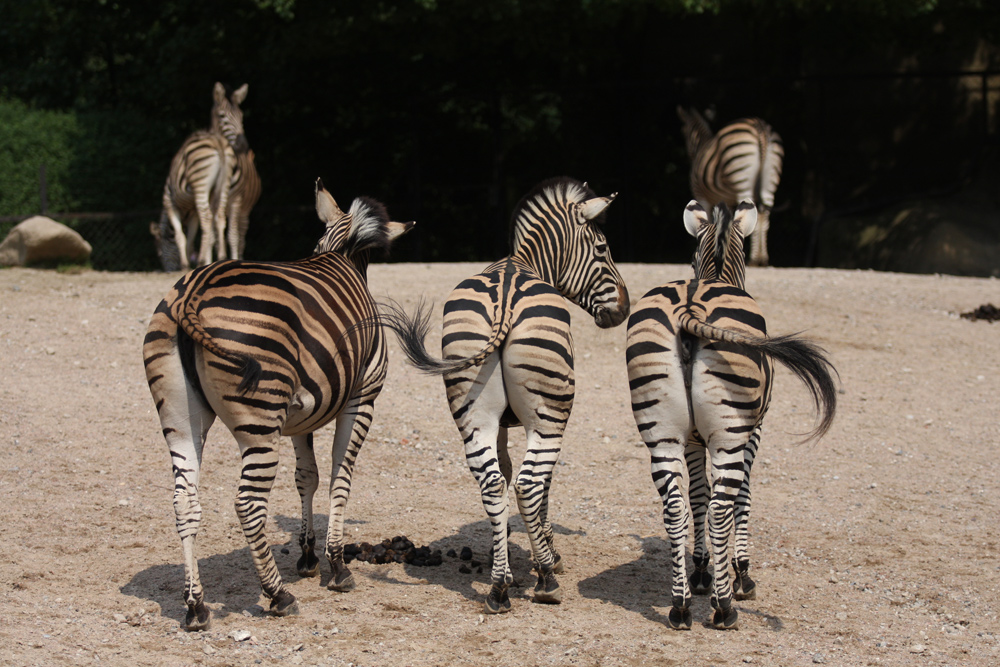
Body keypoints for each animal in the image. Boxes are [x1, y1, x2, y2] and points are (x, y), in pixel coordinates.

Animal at [145, 179, 414, 632]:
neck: (339, 252)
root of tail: (192, 293)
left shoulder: (301, 417)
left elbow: (307, 477)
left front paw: (307, 555)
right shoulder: (362, 398)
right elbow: (340, 477)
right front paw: (336, 564)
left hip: (179, 420)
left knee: (184, 501)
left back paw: (196, 606)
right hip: (258, 422)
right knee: (248, 504)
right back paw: (277, 595)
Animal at [158, 82, 250, 270]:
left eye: (162, 247)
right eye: (223, 115)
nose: (243, 144)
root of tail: (218, 143)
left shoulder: (170, 203)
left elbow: (181, 234)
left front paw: (187, 263)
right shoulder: (193, 211)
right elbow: (194, 234)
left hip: (200, 183)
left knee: (207, 218)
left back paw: (202, 260)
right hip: (223, 186)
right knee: (219, 218)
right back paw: (220, 257)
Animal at [378, 176, 628, 616]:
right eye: (602, 248)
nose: (626, 308)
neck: (523, 261)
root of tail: (506, 297)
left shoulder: (499, 425)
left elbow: (505, 472)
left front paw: (507, 556)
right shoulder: (534, 424)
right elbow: (542, 487)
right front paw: (549, 553)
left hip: (472, 411)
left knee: (493, 483)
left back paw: (498, 588)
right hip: (550, 418)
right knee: (530, 484)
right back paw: (545, 581)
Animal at [624, 200, 836, 632]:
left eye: (690, 256)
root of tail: (689, 305)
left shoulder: (691, 440)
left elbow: (698, 495)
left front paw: (701, 570)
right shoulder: (754, 432)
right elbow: (742, 496)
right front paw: (741, 574)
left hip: (660, 432)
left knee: (675, 506)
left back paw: (680, 606)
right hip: (730, 433)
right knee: (723, 506)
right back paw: (724, 607)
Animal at [676, 107, 784, 266]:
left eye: (683, 131)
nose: (689, 156)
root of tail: (760, 128)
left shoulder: (701, 195)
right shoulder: (727, 201)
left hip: (741, 174)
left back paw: (753, 258)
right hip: (770, 181)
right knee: (763, 216)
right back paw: (760, 258)